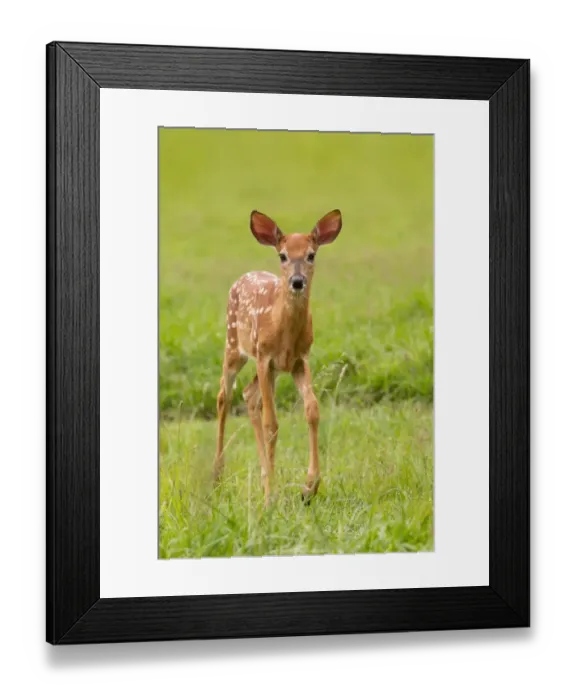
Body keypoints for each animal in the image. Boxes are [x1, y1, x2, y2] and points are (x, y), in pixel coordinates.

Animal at [212, 209, 343, 506]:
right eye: (282, 255)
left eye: (311, 254)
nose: (297, 281)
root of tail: (243, 277)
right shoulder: (264, 357)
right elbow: (271, 423)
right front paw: (270, 497)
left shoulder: (299, 360)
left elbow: (312, 410)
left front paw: (309, 488)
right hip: (234, 345)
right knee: (224, 395)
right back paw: (217, 476)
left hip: (269, 369)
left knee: (249, 395)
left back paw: (262, 475)